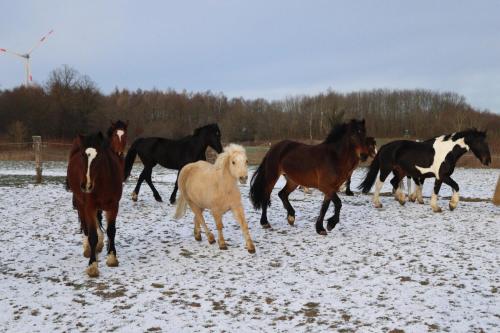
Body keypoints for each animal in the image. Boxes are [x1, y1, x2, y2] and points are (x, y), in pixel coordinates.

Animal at [66, 131, 123, 276]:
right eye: (82, 156)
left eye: (99, 157)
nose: (86, 185)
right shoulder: (89, 206)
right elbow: (92, 235)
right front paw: (92, 265)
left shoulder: (114, 206)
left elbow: (111, 231)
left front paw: (112, 258)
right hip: (80, 204)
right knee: (86, 227)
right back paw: (89, 249)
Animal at [360, 128, 492, 211]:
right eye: (481, 142)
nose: (488, 161)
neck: (448, 152)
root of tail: (385, 146)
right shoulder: (441, 176)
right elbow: (445, 188)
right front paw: (438, 207)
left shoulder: (443, 176)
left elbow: (452, 187)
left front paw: (451, 205)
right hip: (386, 169)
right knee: (379, 184)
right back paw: (378, 204)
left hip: (400, 171)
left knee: (394, 182)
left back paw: (402, 200)